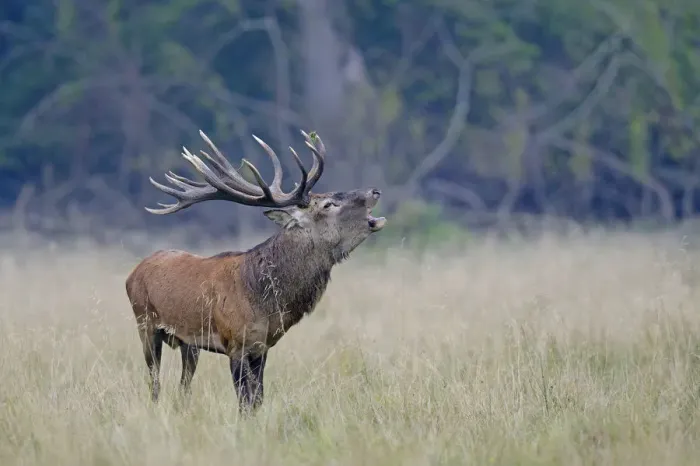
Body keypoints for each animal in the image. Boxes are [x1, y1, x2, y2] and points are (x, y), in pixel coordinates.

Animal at [125, 129, 386, 412]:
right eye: (328, 204)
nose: (374, 191)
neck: (264, 300)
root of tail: (133, 272)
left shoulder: (262, 346)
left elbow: (258, 399)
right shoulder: (235, 344)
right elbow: (244, 402)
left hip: (188, 344)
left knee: (183, 385)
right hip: (145, 324)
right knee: (154, 382)